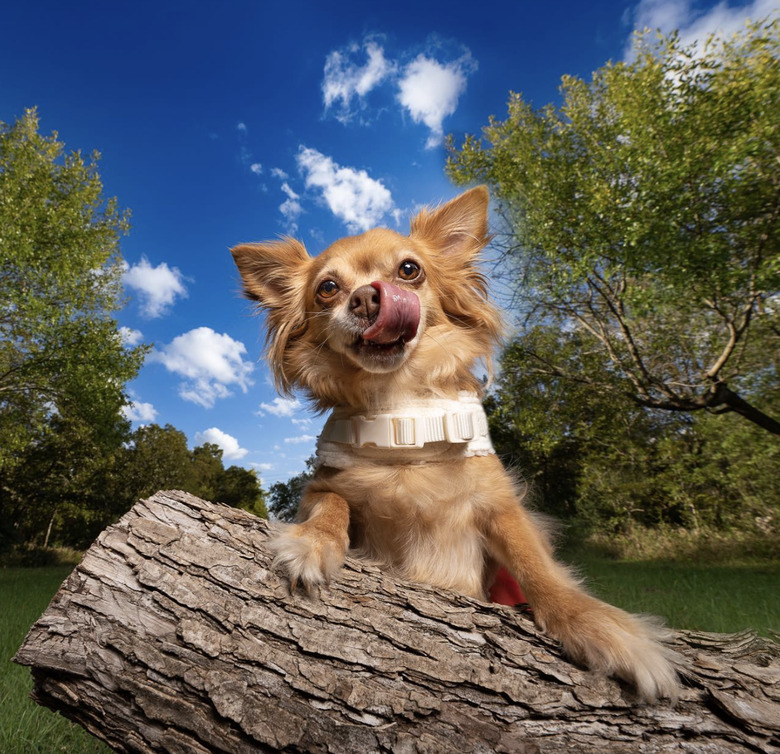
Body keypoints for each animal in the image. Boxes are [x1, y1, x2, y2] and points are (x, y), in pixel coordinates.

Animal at [230, 187, 676, 700]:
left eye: (409, 269)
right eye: (327, 288)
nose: (365, 297)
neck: (401, 414)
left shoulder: (499, 507)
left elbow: (538, 567)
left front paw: (599, 625)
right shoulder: (323, 487)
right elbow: (332, 506)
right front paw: (312, 543)